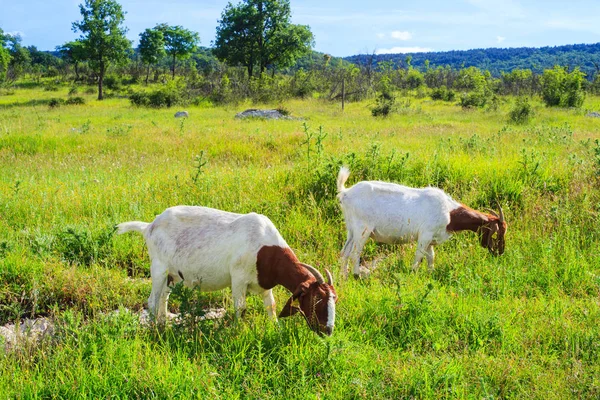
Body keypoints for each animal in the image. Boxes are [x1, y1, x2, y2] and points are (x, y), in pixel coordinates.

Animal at [118, 206, 338, 334]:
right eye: (316, 299)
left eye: (334, 299)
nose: (328, 330)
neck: (266, 249)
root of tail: (149, 226)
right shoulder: (238, 277)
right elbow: (240, 308)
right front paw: (238, 332)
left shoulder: (264, 282)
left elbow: (271, 306)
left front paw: (275, 328)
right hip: (159, 268)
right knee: (152, 301)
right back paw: (155, 331)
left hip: (172, 275)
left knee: (164, 297)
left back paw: (163, 326)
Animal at [338, 167, 506, 276]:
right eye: (498, 233)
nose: (500, 252)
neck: (449, 212)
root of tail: (345, 193)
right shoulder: (425, 234)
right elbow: (419, 256)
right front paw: (413, 273)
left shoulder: (431, 239)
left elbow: (431, 257)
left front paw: (430, 274)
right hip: (363, 229)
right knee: (355, 253)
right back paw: (356, 276)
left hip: (351, 230)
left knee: (344, 252)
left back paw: (344, 278)